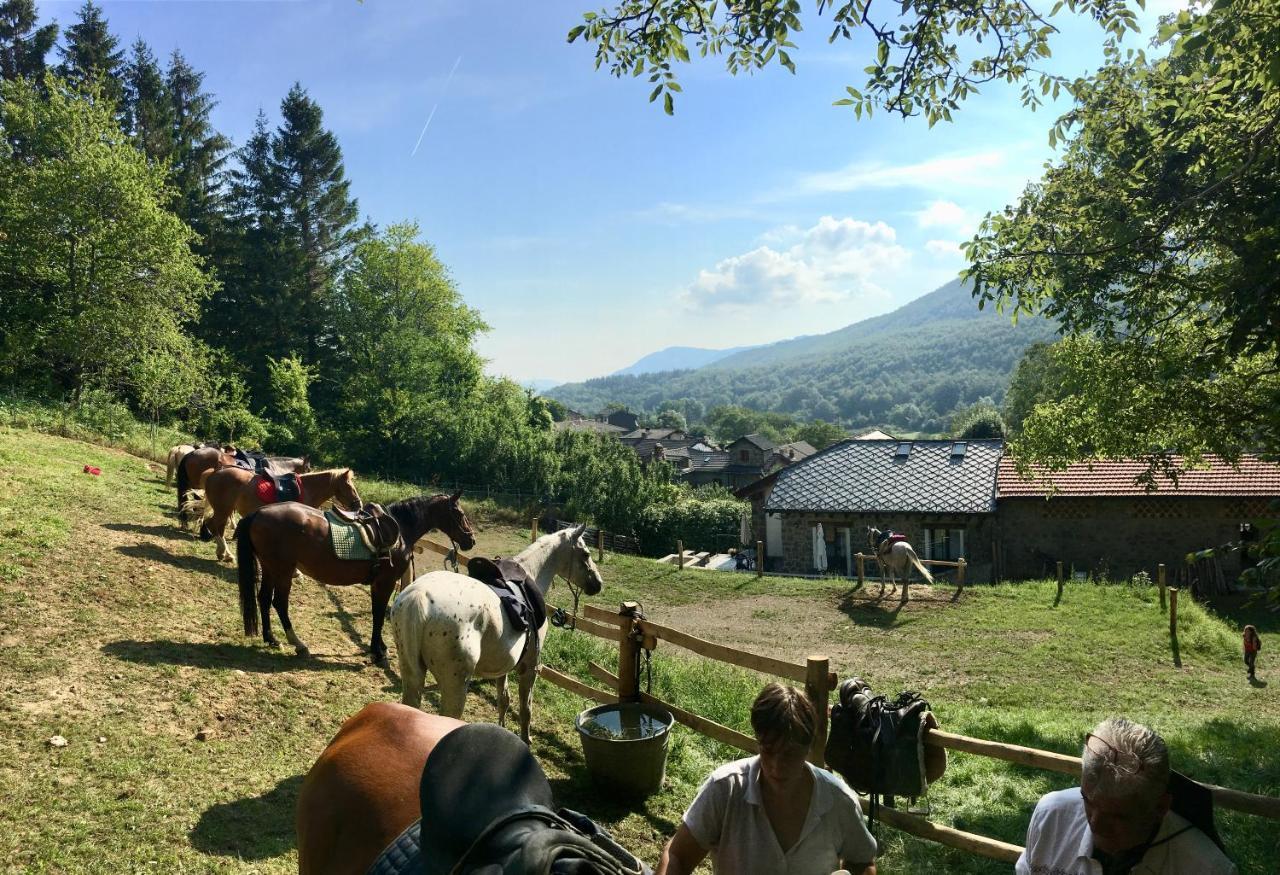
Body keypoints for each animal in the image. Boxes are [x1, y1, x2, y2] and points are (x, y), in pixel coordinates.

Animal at [197, 465, 363, 560]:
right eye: (349, 486)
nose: (358, 505)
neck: (307, 490)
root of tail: (215, 472)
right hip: (223, 509)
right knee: (218, 527)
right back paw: (226, 554)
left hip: (223, 509)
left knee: (213, 524)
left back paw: (220, 551)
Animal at [235, 491, 476, 665]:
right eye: (459, 514)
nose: (470, 540)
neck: (400, 530)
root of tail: (258, 513)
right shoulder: (385, 582)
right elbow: (378, 615)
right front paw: (378, 652)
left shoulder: (378, 583)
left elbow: (377, 612)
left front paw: (380, 647)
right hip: (283, 571)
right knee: (279, 603)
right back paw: (298, 644)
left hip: (270, 568)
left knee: (264, 599)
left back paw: (271, 638)